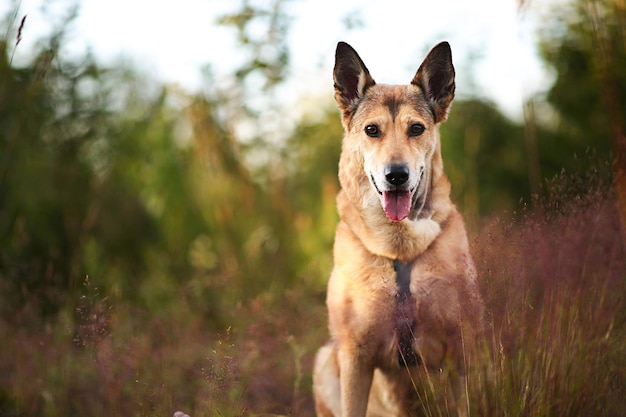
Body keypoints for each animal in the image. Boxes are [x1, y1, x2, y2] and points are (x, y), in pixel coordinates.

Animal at [312, 39, 482, 416]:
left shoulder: (460, 349)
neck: (399, 247)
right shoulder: (355, 357)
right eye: (371, 130)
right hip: (325, 358)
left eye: (416, 128)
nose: (396, 175)